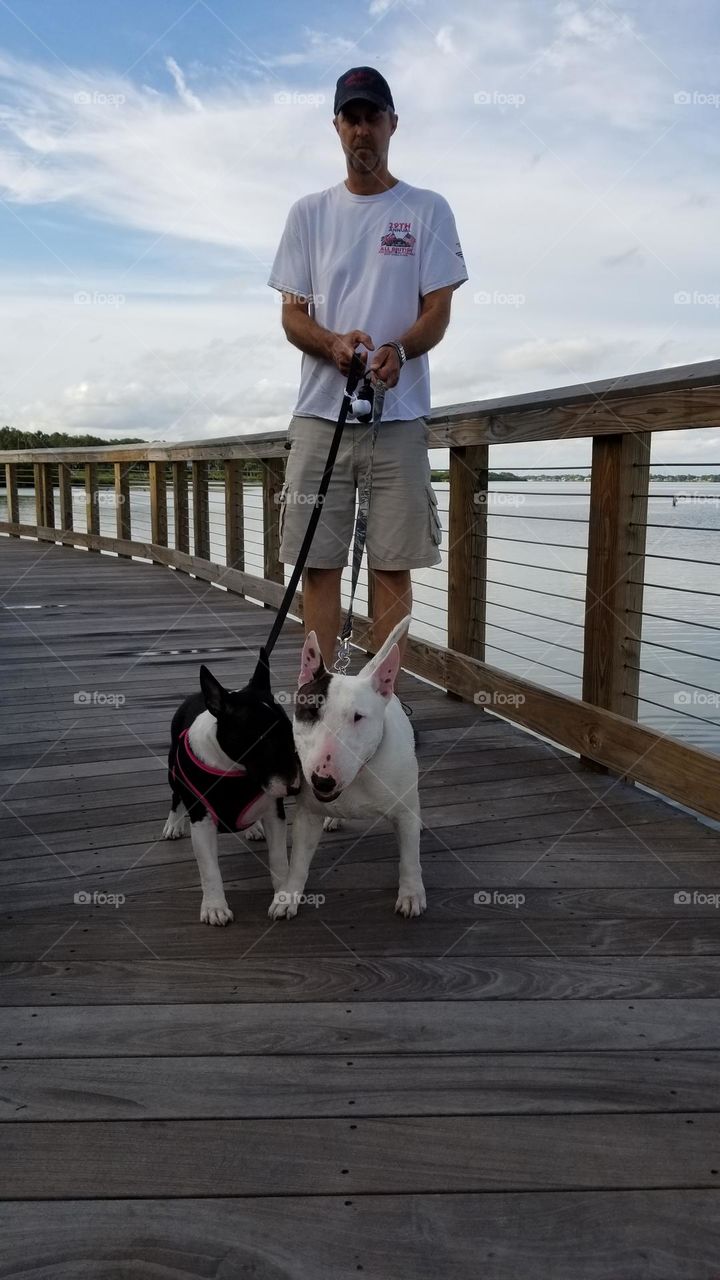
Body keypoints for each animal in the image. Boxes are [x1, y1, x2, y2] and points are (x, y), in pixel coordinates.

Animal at [269, 616, 425, 921]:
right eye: (310, 711)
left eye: (358, 717)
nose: (322, 781)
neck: (361, 773)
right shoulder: (307, 815)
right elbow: (298, 862)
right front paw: (287, 896)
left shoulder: (405, 813)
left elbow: (409, 859)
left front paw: (411, 894)